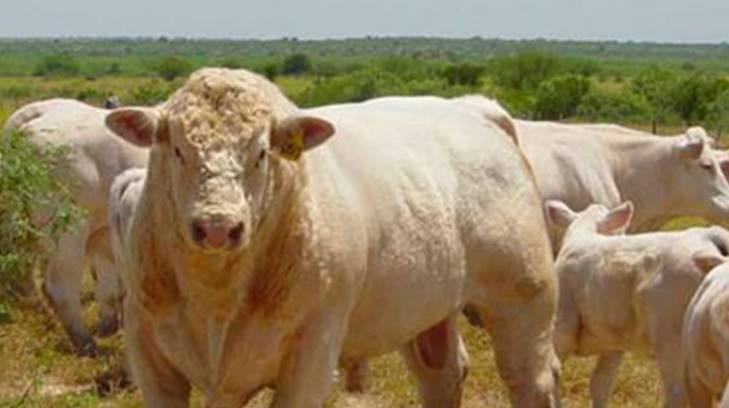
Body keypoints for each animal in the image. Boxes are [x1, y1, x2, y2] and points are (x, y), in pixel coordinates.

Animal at [105, 68, 556, 406]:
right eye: (178, 150)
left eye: (261, 153)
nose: (217, 226)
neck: (215, 295)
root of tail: (474, 109)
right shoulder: (149, 354)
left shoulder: (313, 353)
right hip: (423, 310)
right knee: (442, 375)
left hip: (524, 296)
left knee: (531, 378)